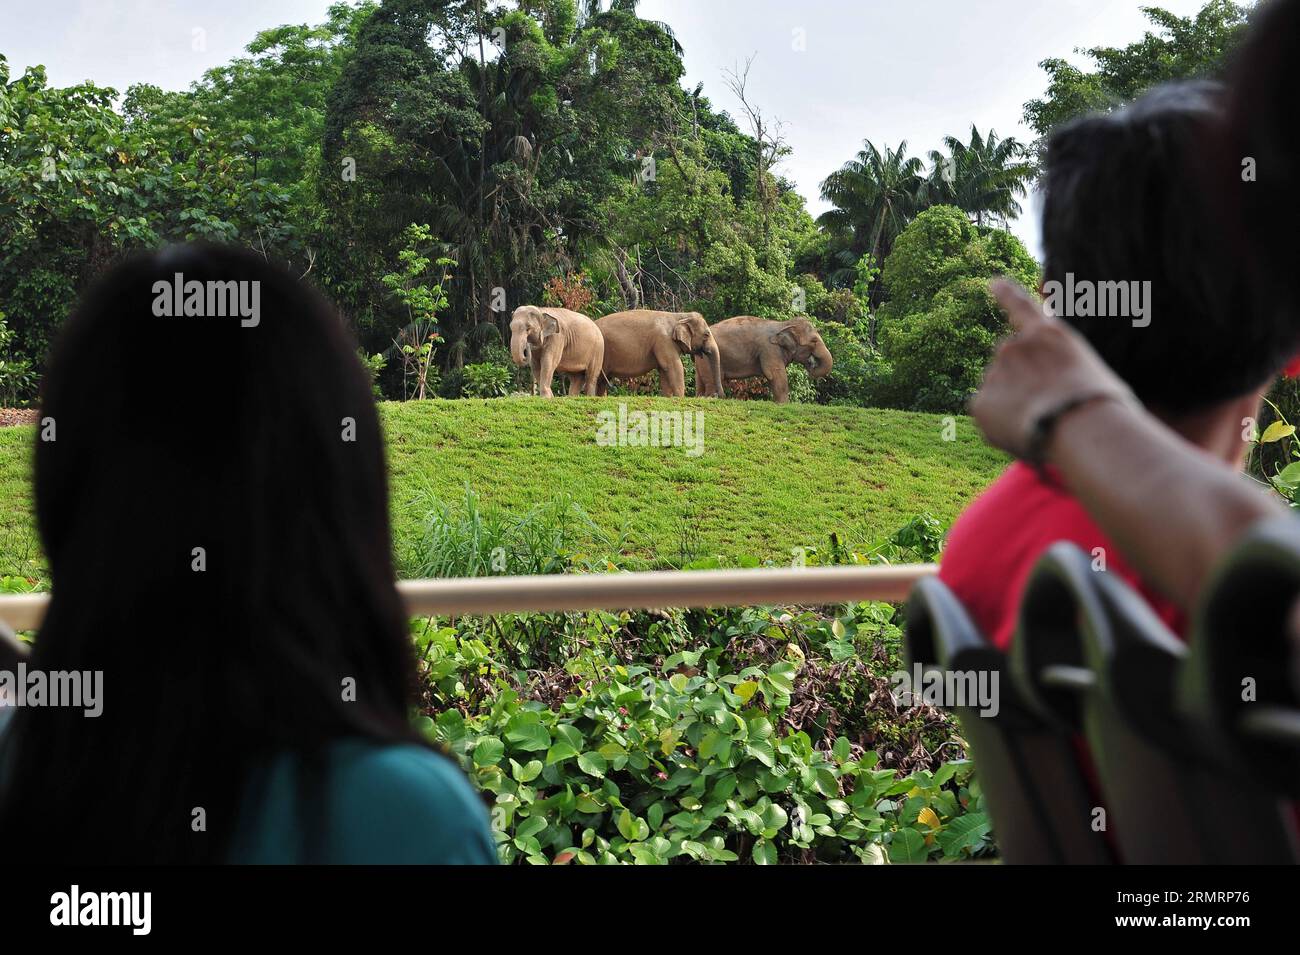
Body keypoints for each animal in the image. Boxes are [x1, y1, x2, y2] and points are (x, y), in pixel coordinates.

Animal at [595, 311, 728, 397]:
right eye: (706, 334)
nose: (718, 395)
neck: (679, 316)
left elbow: (664, 370)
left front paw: (668, 397)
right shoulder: (664, 341)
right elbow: (674, 366)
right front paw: (680, 398)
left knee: (602, 380)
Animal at [702, 315, 832, 402]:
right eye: (814, 341)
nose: (811, 363)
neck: (783, 324)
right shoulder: (769, 349)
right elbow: (775, 374)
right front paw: (783, 404)